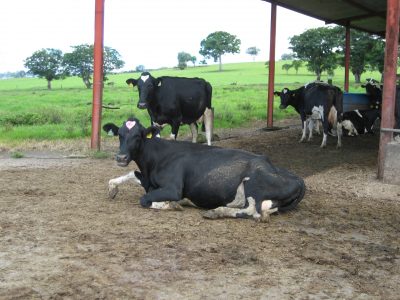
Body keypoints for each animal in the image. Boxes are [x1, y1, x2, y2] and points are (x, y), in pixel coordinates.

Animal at [104, 118, 304, 221]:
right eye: (119, 135)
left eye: (138, 136)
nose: (121, 157)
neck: (152, 162)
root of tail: (298, 178)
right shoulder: (146, 180)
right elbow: (130, 174)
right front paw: (112, 188)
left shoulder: (173, 189)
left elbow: (144, 200)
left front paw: (172, 205)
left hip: (255, 184)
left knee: (253, 212)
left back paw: (215, 212)